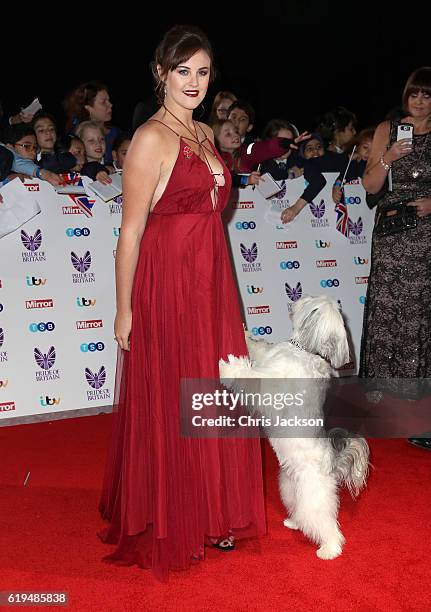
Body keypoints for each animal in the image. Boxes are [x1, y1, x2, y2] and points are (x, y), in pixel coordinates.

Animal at [221, 296, 370, 560]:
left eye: (311, 302)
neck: (305, 351)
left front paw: (229, 367)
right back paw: (294, 522)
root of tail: (332, 463)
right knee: (300, 511)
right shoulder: (268, 358)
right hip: (290, 487)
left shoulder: (272, 390)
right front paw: (246, 333)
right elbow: (260, 348)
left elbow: (252, 379)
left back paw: (330, 549)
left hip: (314, 499)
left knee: (327, 525)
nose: (297, 298)